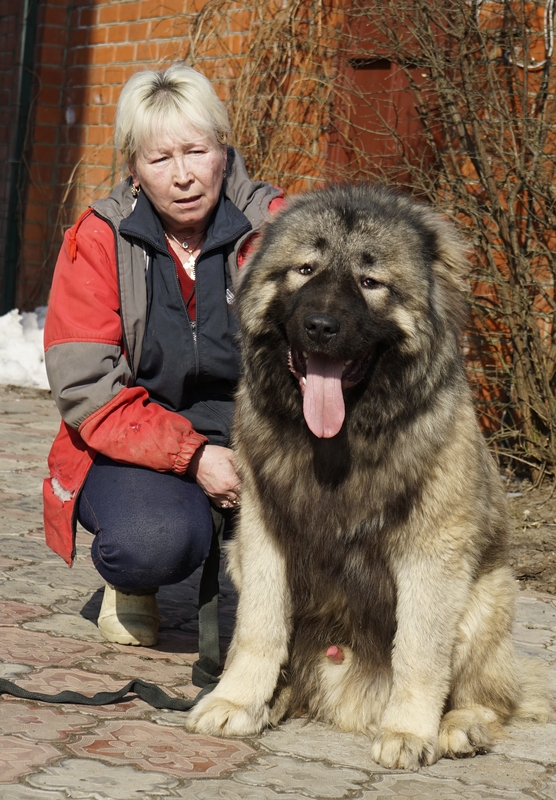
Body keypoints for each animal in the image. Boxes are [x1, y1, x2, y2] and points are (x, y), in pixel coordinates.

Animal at [188, 184, 552, 764]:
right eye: (305, 269)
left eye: (369, 281)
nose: (320, 326)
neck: (339, 442)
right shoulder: (263, 538)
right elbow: (258, 630)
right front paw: (238, 700)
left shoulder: (432, 553)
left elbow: (419, 652)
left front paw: (408, 731)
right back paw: (278, 698)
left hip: (486, 598)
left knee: (492, 699)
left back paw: (459, 727)